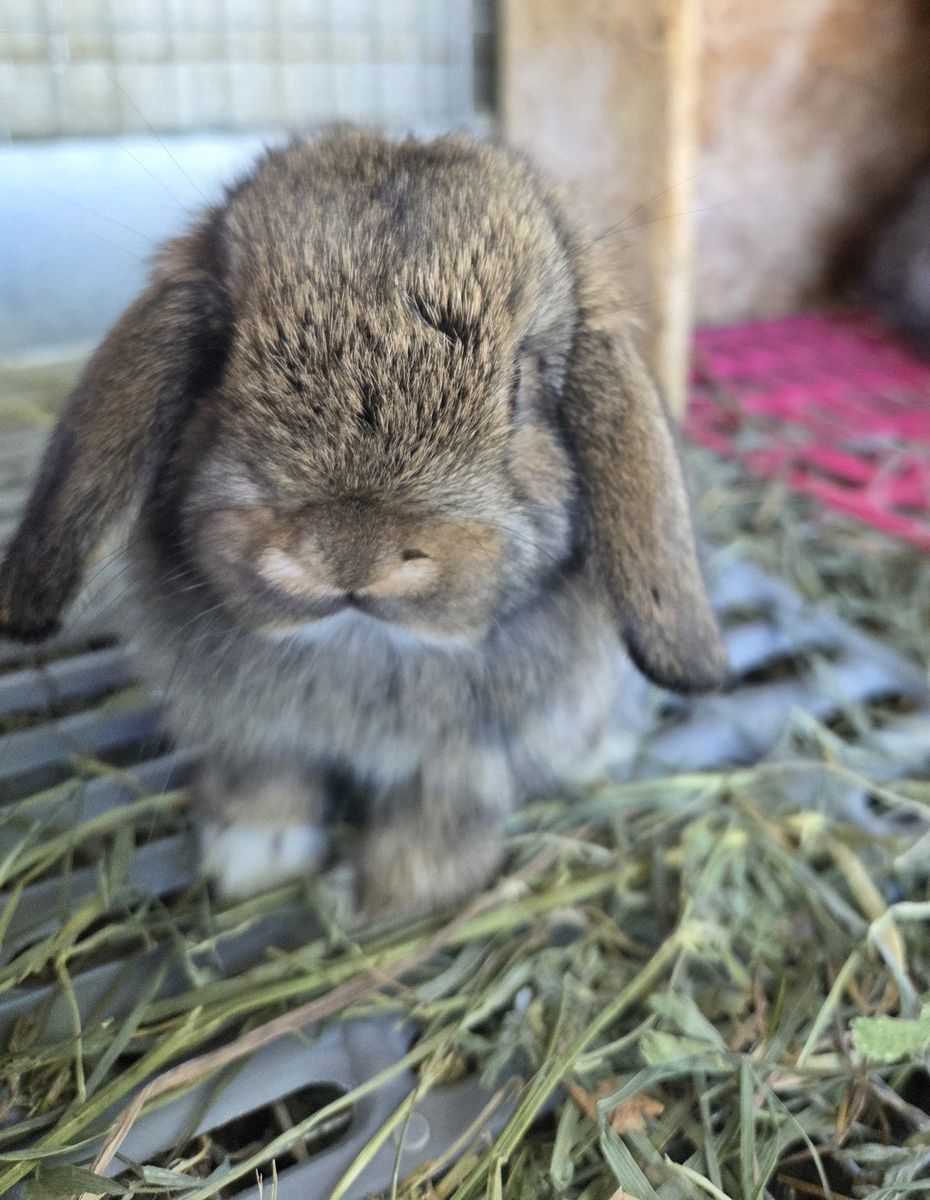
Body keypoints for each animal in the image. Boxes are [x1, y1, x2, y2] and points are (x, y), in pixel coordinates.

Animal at [0, 129, 728, 915]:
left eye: (523, 383)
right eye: (219, 353)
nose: (350, 555)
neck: (361, 640)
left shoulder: (472, 763)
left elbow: (440, 827)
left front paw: (360, 900)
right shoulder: (251, 731)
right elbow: (265, 780)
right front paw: (252, 860)